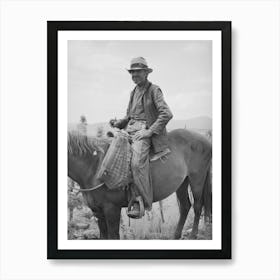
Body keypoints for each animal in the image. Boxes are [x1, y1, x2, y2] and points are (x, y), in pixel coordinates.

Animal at [68, 129, 212, 241]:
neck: (94, 166)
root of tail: (206, 140)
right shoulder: (97, 212)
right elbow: (103, 237)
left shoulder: (111, 209)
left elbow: (113, 236)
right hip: (182, 183)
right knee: (185, 206)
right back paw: (176, 236)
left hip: (197, 179)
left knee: (198, 206)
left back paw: (193, 235)